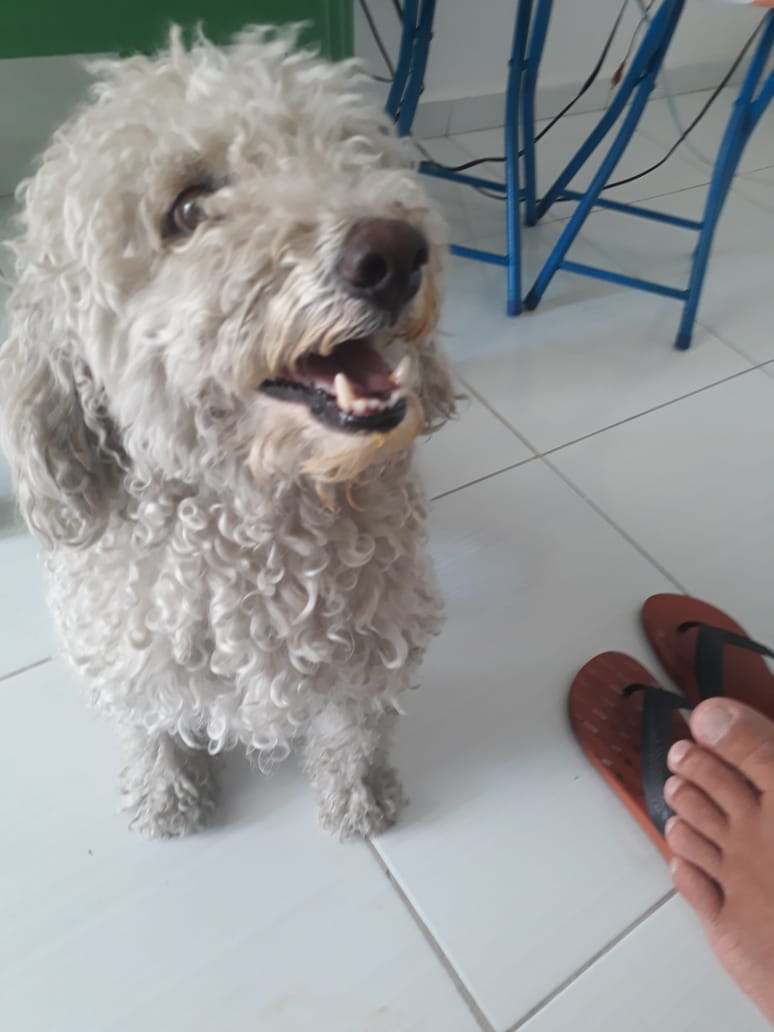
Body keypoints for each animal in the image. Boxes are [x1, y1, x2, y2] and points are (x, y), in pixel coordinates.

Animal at [0, 26, 455, 839]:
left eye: (351, 152)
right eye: (187, 209)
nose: (395, 252)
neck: (255, 515)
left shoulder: (371, 637)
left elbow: (352, 725)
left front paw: (357, 792)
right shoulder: (123, 638)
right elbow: (145, 717)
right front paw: (165, 788)